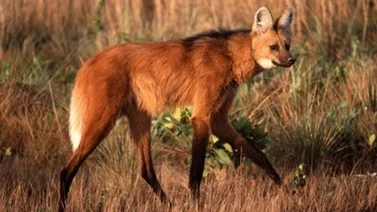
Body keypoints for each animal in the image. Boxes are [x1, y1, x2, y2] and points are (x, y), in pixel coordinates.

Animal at [58, 5, 294, 211]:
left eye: (287, 45)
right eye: (273, 47)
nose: (291, 60)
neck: (230, 57)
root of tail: (87, 63)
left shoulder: (218, 119)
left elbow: (258, 154)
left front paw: (285, 189)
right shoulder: (201, 118)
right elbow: (196, 172)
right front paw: (197, 205)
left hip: (141, 118)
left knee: (146, 171)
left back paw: (169, 205)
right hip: (103, 122)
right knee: (66, 170)